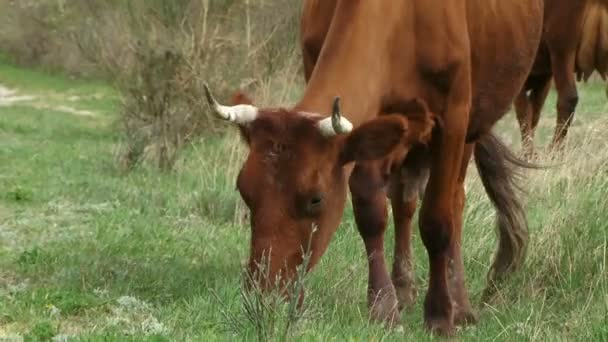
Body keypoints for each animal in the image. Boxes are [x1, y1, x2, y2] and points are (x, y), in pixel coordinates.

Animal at [203, 0, 540, 336]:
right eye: (245, 191)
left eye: (316, 199)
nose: (263, 293)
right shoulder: (363, 128)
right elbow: (371, 213)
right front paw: (383, 307)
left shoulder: (454, 116)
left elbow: (437, 220)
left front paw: (440, 316)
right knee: (404, 200)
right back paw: (404, 290)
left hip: (472, 126)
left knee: (454, 200)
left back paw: (461, 305)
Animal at [516, 0, 608, 157]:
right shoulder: (543, 78)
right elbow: (533, 113)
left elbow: (524, 113)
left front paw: (528, 155)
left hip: (561, 45)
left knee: (568, 98)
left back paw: (554, 151)